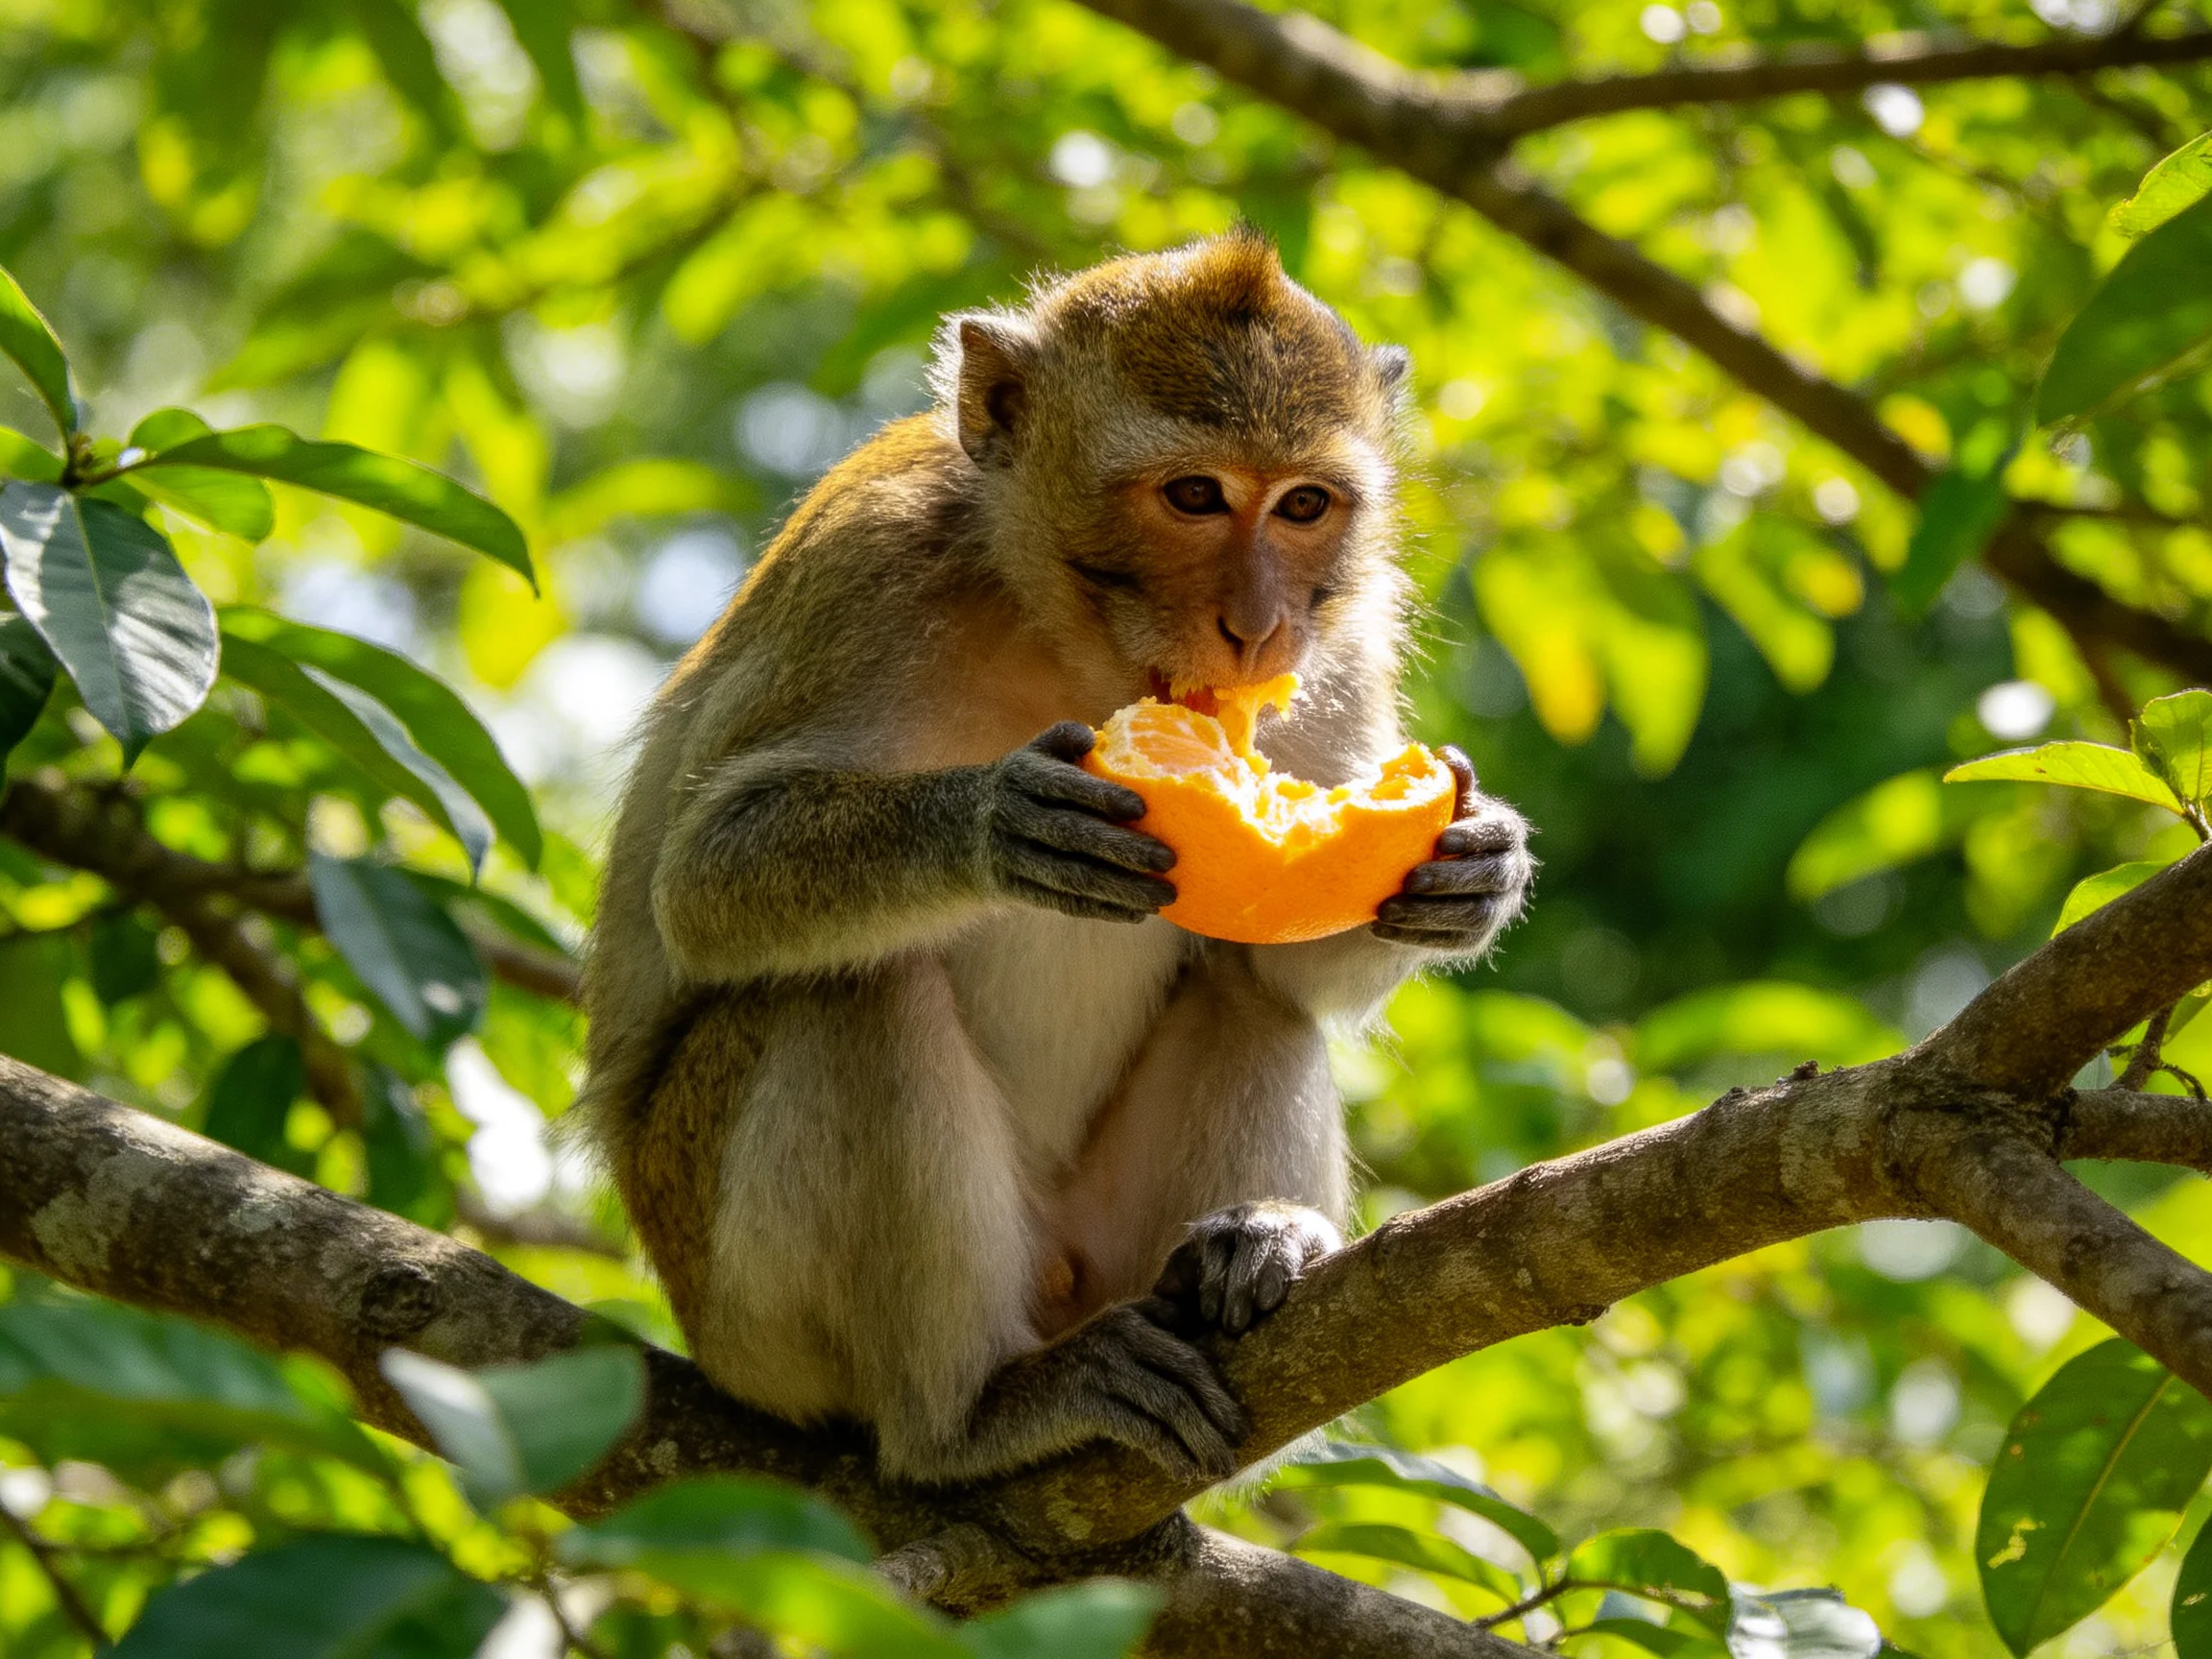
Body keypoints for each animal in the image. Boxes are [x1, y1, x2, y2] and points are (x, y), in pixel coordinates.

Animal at [579, 231, 1533, 1485]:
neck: (1068, 637)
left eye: (1304, 505)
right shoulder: (867, 567)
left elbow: (1288, 962)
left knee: (1250, 999)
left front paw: (1475, 869)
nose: (1259, 628)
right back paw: (970, 1417)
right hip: (742, 1311)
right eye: (1194, 495)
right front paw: (996, 824)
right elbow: (699, 882)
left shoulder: (1345, 643)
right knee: (851, 995)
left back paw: (1248, 1244)